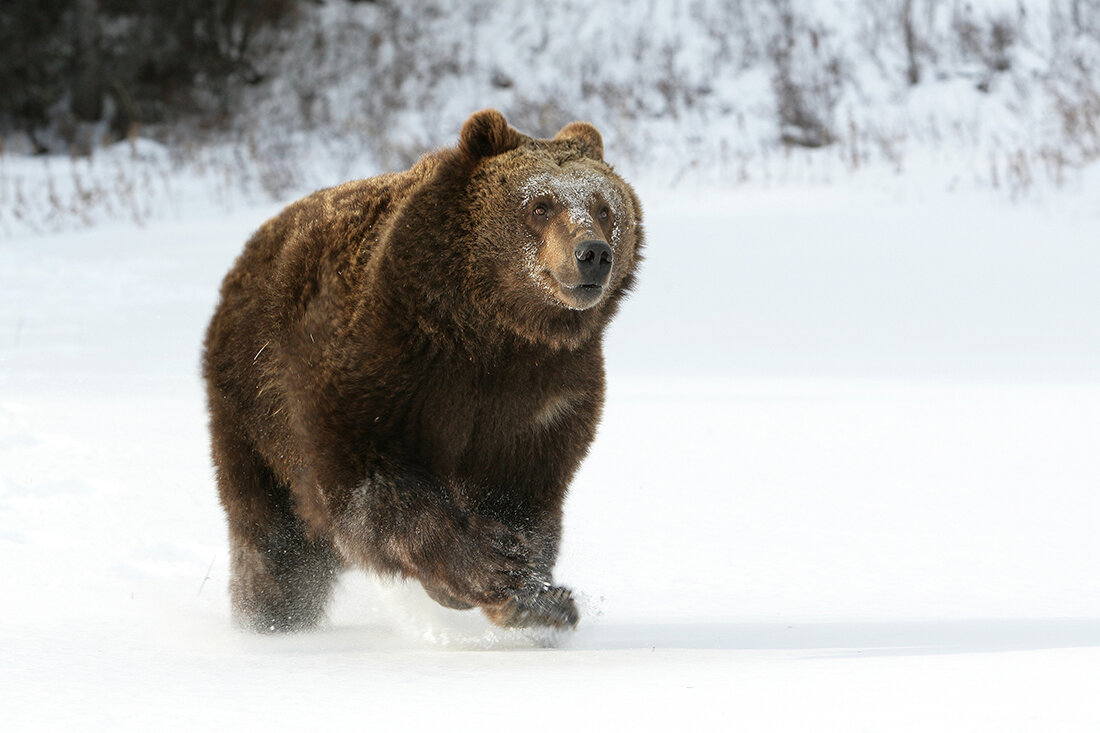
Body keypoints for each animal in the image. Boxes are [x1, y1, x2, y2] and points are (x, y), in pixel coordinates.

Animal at [204, 111, 642, 629]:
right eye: (540, 205)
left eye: (604, 208)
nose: (592, 253)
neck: (494, 330)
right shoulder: (388, 364)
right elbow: (369, 484)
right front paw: (490, 567)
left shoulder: (544, 395)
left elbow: (522, 493)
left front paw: (539, 597)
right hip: (253, 403)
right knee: (273, 539)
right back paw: (270, 618)